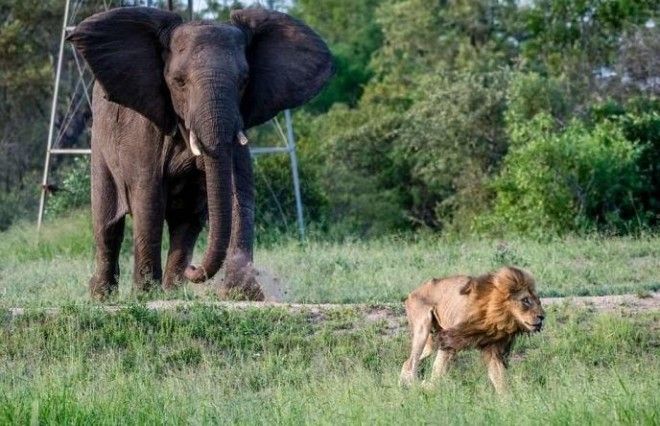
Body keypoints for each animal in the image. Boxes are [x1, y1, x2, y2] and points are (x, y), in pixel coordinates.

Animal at [68, 6, 330, 300]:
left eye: (244, 81)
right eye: (179, 82)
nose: (194, 270)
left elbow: (239, 192)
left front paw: (242, 293)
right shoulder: (144, 130)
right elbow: (148, 200)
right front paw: (145, 296)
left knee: (187, 219)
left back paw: (173, 291)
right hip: (99, 144)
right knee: (107, 224)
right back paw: (102, 296)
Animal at [398, 266, 548, 392]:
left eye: (538, 300)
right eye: (525, 300)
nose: (542, 317)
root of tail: (414, 291)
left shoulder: (493, 348)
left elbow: (500, 378)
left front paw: (508, 403)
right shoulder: (449, 338)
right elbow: (438, 370)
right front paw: (430, 388)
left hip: (431, 342)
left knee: (407, 362)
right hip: (422, 328)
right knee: (412, 363)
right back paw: (412, 385)